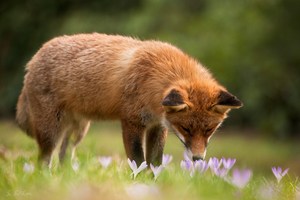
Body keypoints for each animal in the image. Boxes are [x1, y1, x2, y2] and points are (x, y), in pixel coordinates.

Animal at [15, 33, 243, 166]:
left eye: (209, 130)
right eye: (186, 129)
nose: (198, 159)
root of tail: (33, 59)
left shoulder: (158, 126)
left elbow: (155, 162)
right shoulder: (131, 122)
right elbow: (138, 161)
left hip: (78, 131)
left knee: (64, 156)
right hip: (51, 132)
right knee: (43, 160)